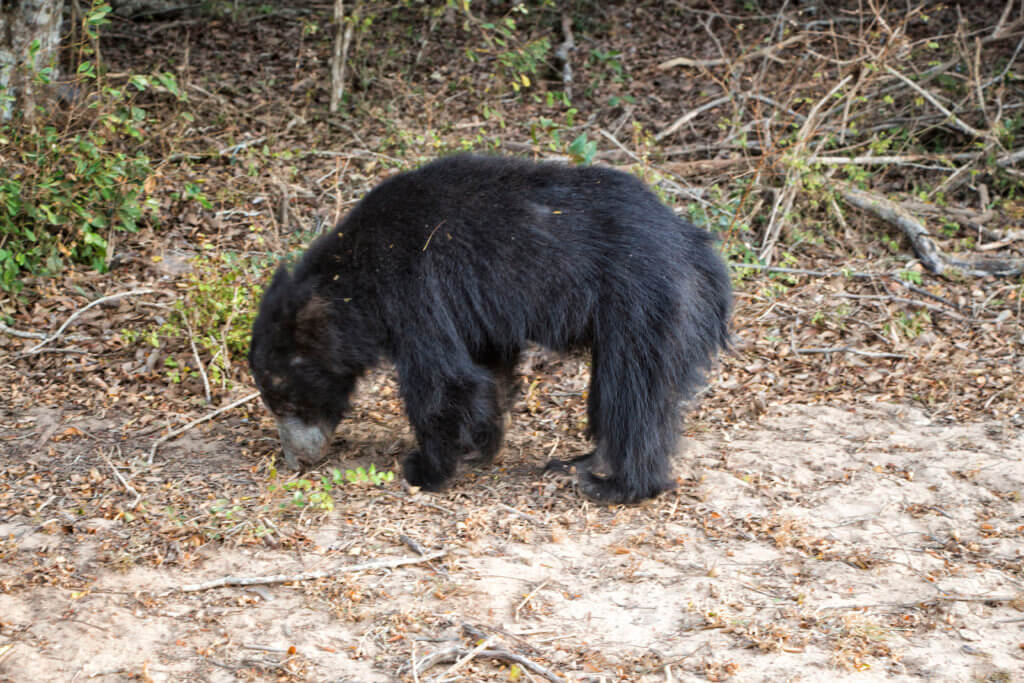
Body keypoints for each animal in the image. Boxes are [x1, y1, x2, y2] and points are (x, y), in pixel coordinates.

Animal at [247, 153, 729, 501]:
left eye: (283, 396)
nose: (295, 459)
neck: (350, 282)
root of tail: (697, 249)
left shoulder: (413, 288)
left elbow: (442, 381)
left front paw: (424, 469)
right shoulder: (474, 310)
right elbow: (487, 368)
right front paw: (482, 444)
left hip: (643, 305)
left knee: (634, 393)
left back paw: (615, 485)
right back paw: (581, 460)